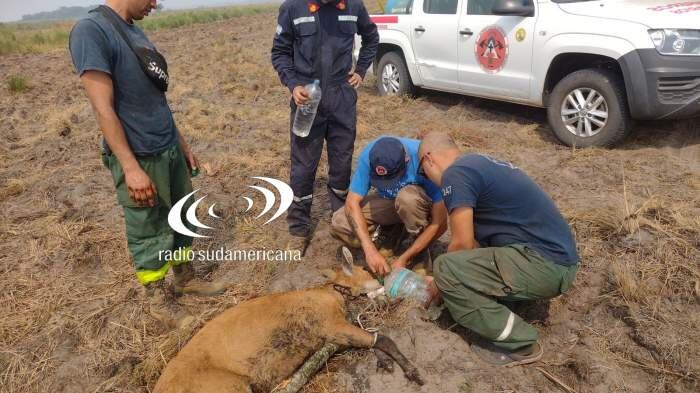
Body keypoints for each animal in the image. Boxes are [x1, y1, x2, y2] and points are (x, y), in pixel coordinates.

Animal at [154, 253, 424, 390]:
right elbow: (383, 338)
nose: (382, 277)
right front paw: (412, 371)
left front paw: (386, 364)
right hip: (228, 386)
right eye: (366, 269)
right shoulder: (330, 325)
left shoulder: (335, 332)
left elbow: (371, 338)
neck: (332, 293)